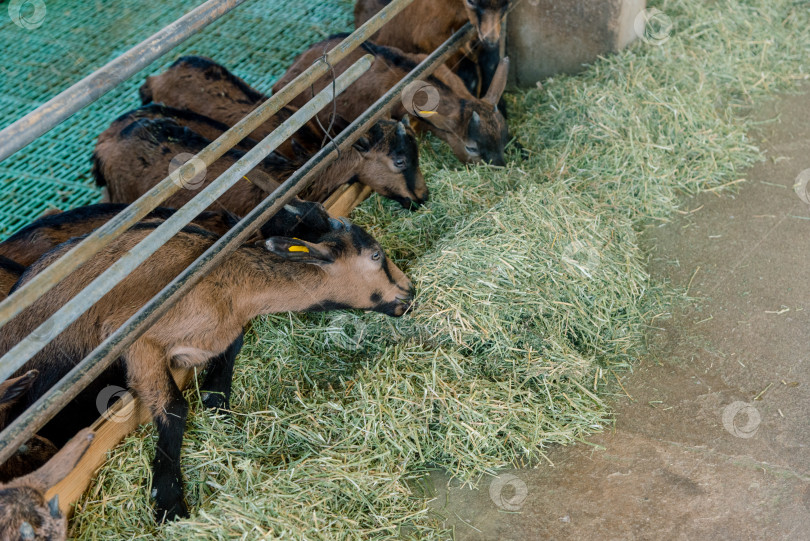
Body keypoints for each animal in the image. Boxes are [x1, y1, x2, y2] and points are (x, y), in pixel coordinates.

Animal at [1, 219, 413, 522]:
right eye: (376, 255)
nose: (409, 293)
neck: (230, 287)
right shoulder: (137, 341)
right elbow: (174, 408)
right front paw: (168, 501)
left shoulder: (218, 335)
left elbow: (232, 349)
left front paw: (218, 405)